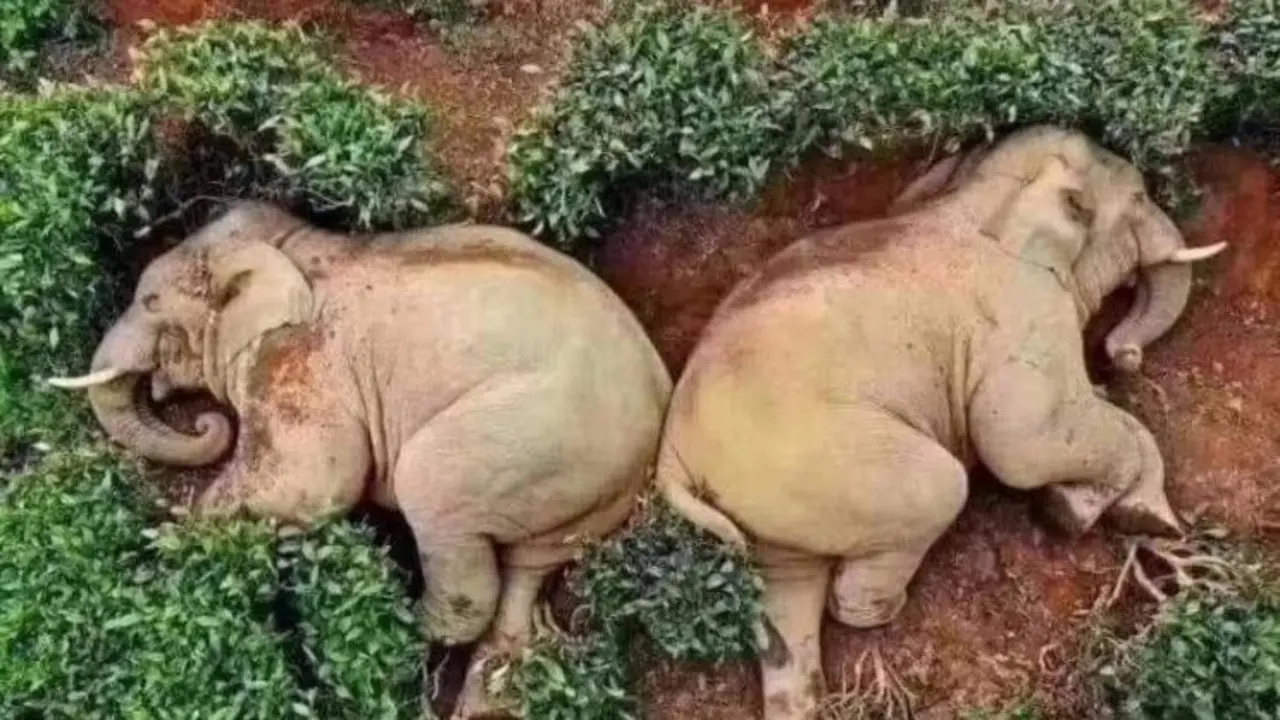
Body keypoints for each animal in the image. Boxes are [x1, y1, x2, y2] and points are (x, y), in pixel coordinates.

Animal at [47, 200, 673, 719]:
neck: (291, 244)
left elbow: (316, 483)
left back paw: (397, 625)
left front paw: (176, 537)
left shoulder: (299, 362)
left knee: (436, 497)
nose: (205, 422)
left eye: (150, 301)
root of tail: (658, 403)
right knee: (528, 569)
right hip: (580, 489)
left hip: (529, 438)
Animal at [652, 125, 1228, 720]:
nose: (1120, 356)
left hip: (767, 505)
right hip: (826, 464)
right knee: (936, 490)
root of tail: (672, 457)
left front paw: (1132, 511)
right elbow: (1020, 443)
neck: (973, 195)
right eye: (1138, 198)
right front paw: (1074, 513)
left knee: (788, 589)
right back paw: (884, 609)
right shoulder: (1025, 314)